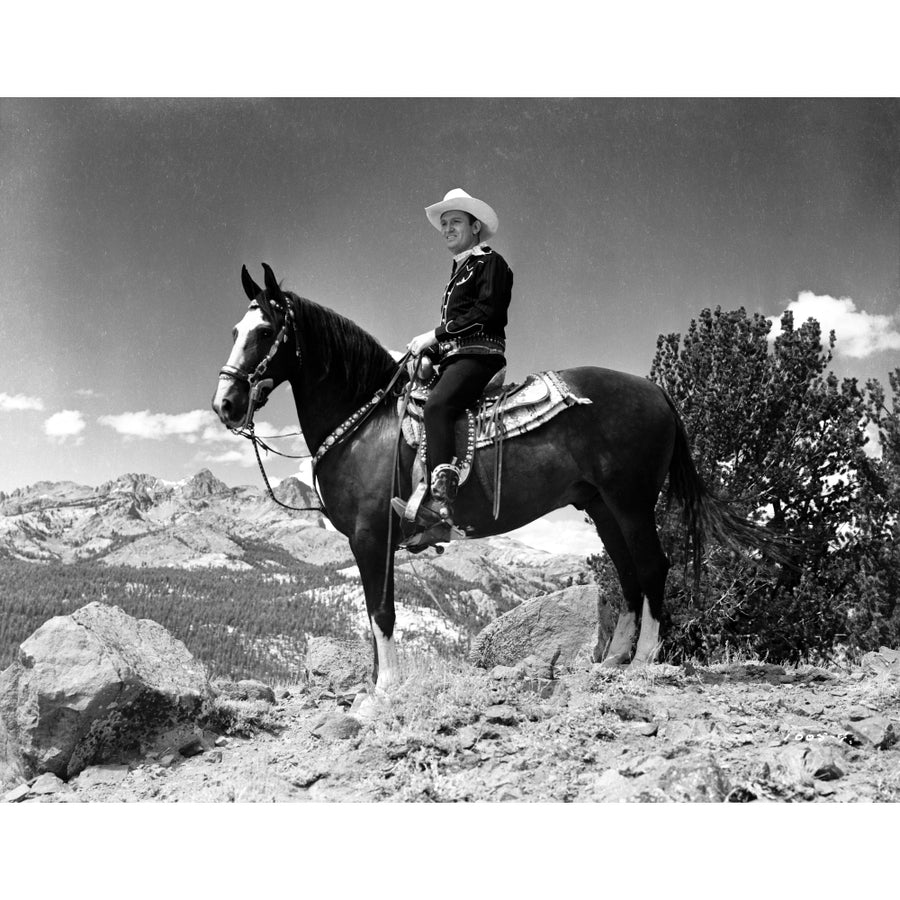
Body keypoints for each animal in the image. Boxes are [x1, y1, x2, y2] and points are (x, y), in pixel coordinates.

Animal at [211, 260, 780, 704]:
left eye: (265, 332)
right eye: (234, 331)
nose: (225, 405)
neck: (367, 423)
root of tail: (657, 391)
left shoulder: (371, 535)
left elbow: (381, 611)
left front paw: (385, 690)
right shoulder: (371, 540)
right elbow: (375, 614)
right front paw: (377, 685)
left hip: (632, 500)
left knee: (653, 567)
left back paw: (643, 661)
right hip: (602, 506)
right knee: (628, 574)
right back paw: (613, 660)